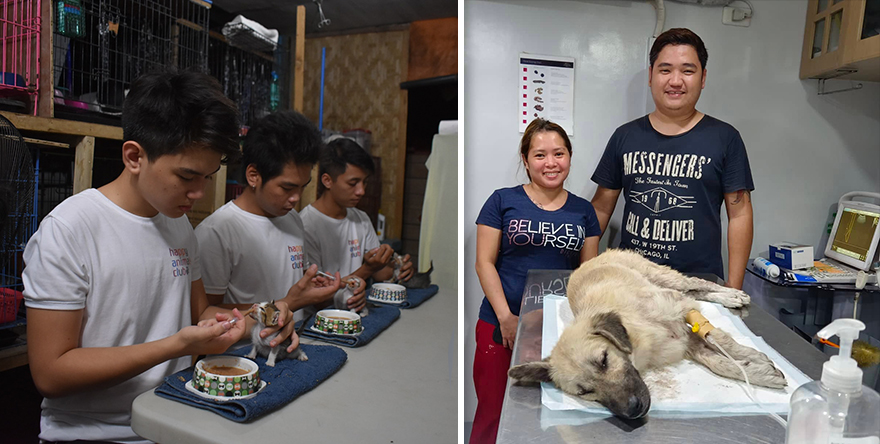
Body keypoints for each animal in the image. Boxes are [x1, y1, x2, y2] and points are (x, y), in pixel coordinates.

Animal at [506, 250, 788, 420]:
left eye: (604, 360)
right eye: (584, 392)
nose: (633, 410)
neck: (636, 330)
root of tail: (598, 256)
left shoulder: (680, 312)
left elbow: (720, 341)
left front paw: (755, 363)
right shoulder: (684, 341)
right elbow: (717, 361)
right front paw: (753, 369)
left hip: (665, 279)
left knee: (699, 284)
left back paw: (732, 295)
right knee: (697, 291)